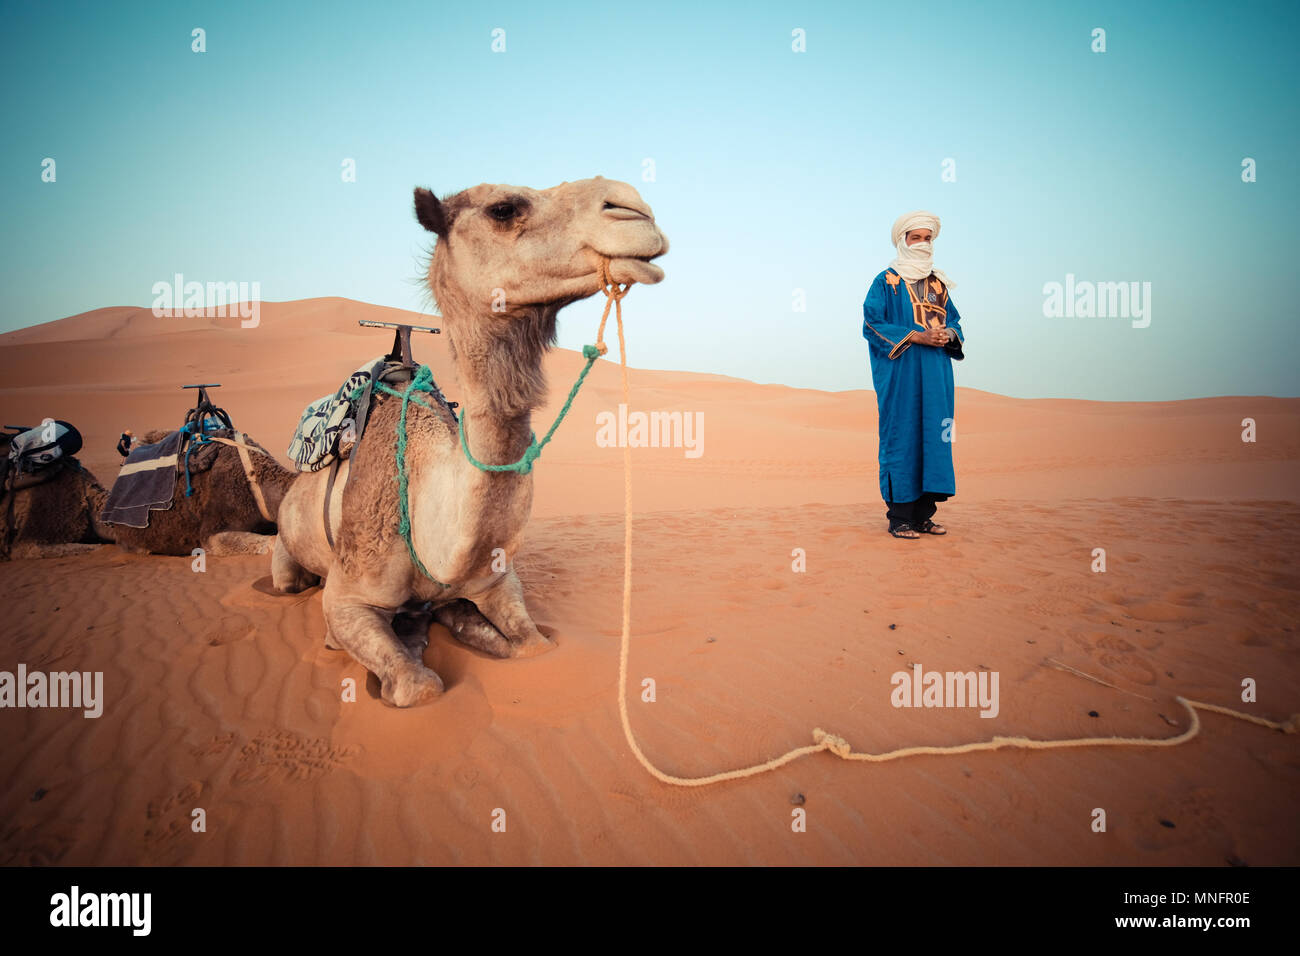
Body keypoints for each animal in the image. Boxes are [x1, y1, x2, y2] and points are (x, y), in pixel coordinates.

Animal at [273, 176, 668, 706]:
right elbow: (418, 686)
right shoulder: (348, 594)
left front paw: (460, 621)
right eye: (503, 209)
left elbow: (533, 646)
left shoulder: (499, 581)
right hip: (285, 546)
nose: (635, 209)